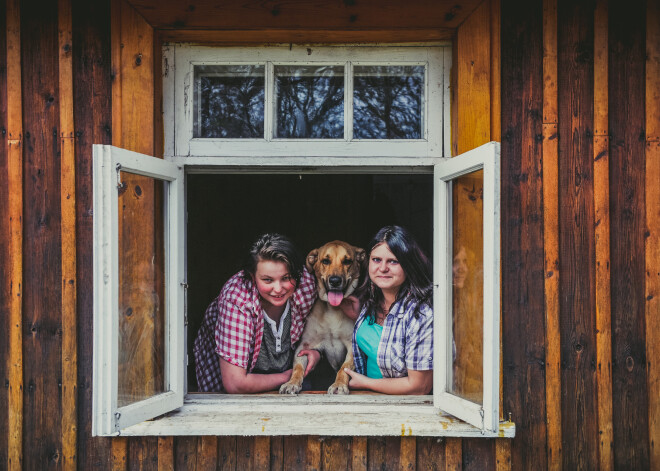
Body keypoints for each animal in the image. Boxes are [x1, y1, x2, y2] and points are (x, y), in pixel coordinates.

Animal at [278, 242, 364, 396]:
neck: (332, 309)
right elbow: (298, 368)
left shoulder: (352, 346)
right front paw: (292, 383)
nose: (335, 281)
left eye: (347, 261)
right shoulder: (304, 346)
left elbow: (344, 368)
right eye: (325, 261)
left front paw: (339, 384)